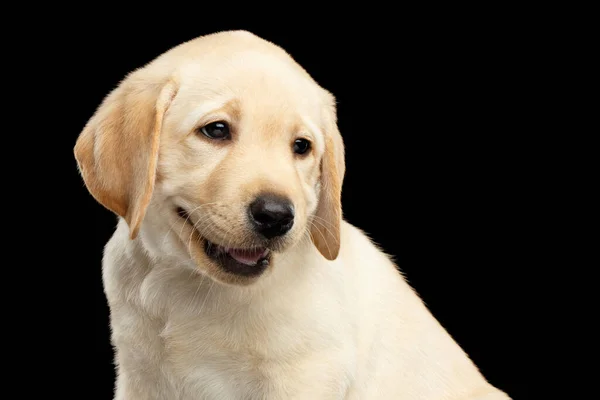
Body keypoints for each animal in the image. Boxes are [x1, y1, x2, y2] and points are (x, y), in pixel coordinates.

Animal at [72, 30, 508, 400]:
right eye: (216, 130)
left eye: (301, 146)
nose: (276, 216)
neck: (190, 284)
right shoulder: (141, 375)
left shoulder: (304, 375)